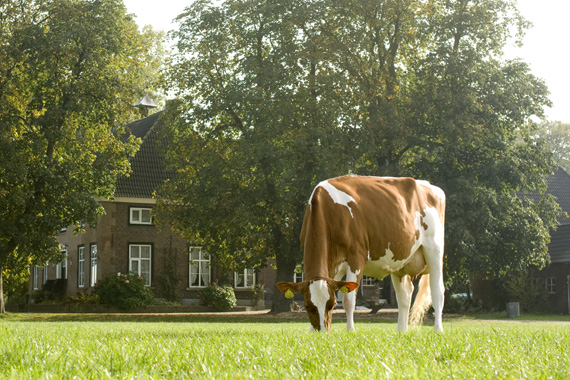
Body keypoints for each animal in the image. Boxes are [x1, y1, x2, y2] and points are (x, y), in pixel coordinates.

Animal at [276, 175, 444, 332]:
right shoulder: (334, 265)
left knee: (437, 291)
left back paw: (438, 329)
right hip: (400, 262)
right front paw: (311, 331)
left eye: (332, 305)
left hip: (434, 250)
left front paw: (350, 330)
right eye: (307, 306)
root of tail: (430, 186)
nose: (322, 331)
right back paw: (401, 330)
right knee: (405, 295)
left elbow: (349, 299)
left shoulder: (356, 257)